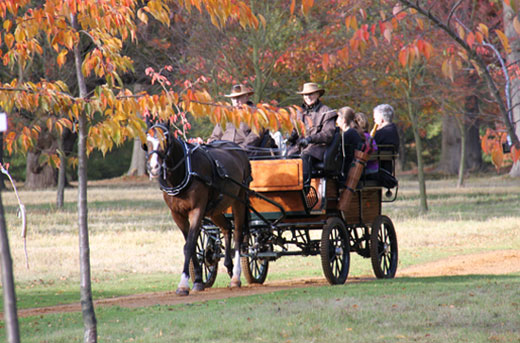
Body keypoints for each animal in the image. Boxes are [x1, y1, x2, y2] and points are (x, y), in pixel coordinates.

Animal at [145, 123, 253, 296]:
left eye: (166, 140)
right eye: (147, 141)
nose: (154, 167)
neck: (185, 171)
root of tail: (238, 149)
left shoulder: (197, 210)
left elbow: (189, 245)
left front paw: (183, 284)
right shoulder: (177, 215)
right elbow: (191, 245)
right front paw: (197, 281)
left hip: (239, 200)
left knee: (238, 234)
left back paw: (236, 276)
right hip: (215, 209)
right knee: (226, 227)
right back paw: (228, 266)